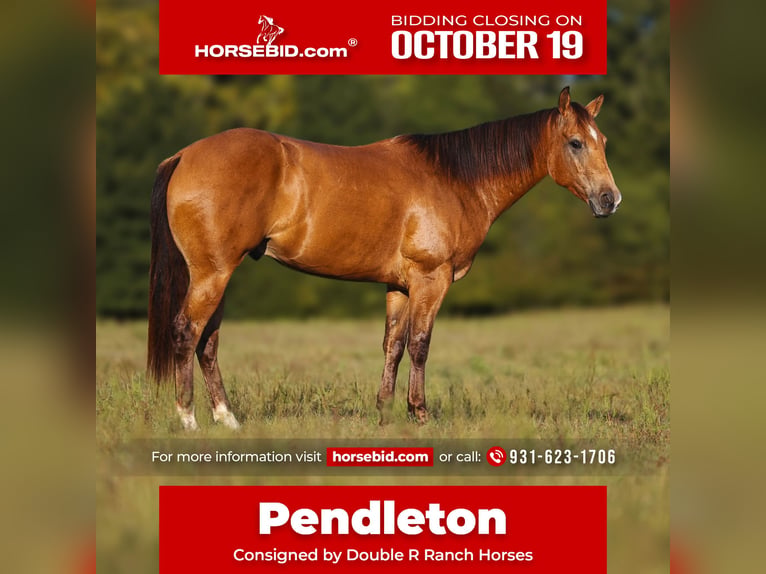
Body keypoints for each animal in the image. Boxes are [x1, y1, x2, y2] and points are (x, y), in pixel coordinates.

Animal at [147, 87, 621, 430]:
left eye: (603, 141)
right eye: (576, 143)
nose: (610, 200)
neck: (454, 179)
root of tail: (184, 155)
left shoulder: (399, 286)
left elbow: (393, 345)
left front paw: (385, 413)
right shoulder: (432, 280)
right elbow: (420, 344)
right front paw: (419, 414)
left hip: (219, 275)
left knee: (208, 342)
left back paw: (227, 419)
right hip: (212, 274)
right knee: (187, 332)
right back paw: (188, 420)